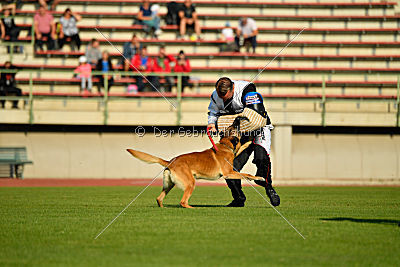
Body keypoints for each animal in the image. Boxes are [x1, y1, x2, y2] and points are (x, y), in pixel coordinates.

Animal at [127, 118, 266, 209]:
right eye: (233, 127)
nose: (237, 120)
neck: (225, 145)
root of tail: (171, 161)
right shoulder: (229, 173)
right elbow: (246, 174)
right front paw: (259, 177)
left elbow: (241, 148)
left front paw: (249, 143)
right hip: (190, 183)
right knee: (183, 202)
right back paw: (193, 208)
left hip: (169, 184)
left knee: (159, 198)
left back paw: (163, 208)